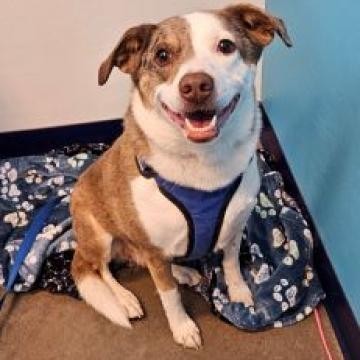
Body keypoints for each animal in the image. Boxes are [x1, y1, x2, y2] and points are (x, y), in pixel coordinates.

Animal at [69, 2, 290, 348]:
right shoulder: (154, 252)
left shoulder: (235, 227)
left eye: (225, 46)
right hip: (98, 233)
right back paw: (125, 298)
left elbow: (231, 264)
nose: (196, 86)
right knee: (98, 269)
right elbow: (169, 296)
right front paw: (183, 327)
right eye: (162, 55)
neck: (203, 163)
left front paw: (239, 291)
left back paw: (183, 272)